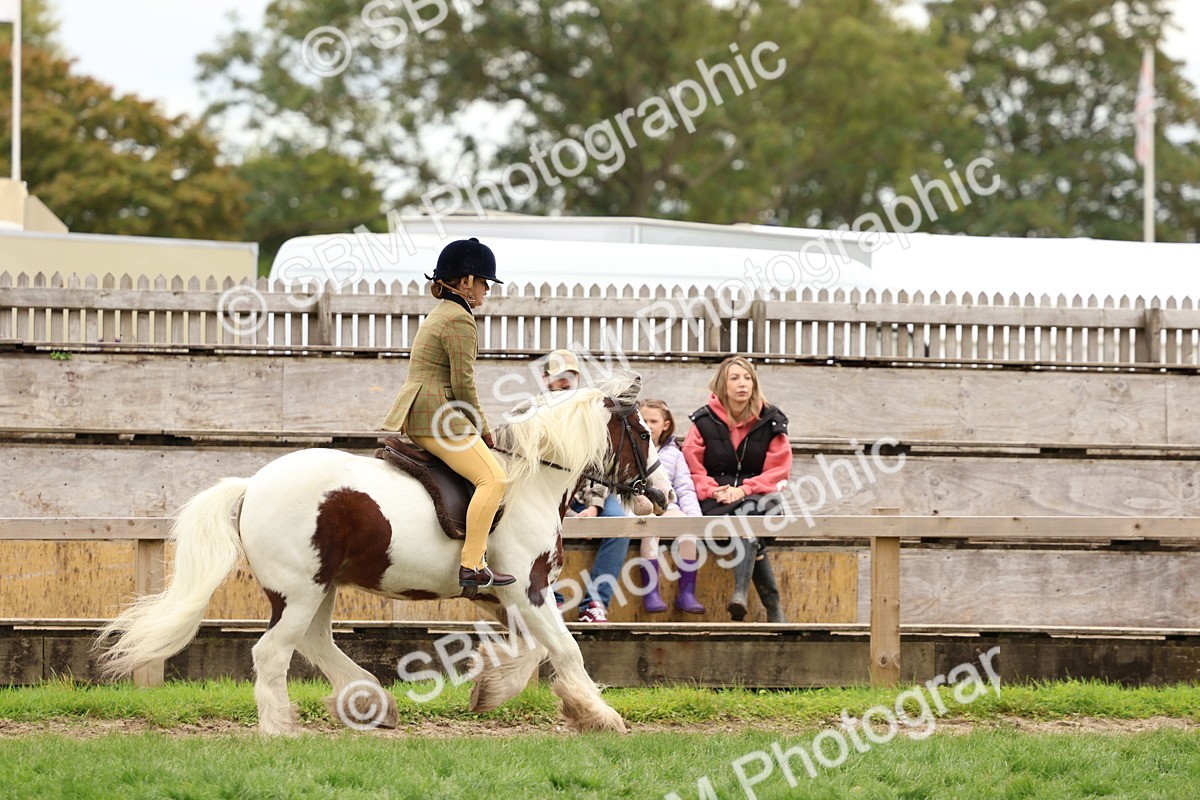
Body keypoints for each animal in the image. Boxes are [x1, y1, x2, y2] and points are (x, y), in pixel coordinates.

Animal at [96, 373, 672, 735]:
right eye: (646, 433)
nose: (663, 495)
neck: (530, 478)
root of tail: (252, 484)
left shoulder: (506, 596)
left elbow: (534, 649)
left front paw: (493, 692)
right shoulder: (528, 590)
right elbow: (566, 648)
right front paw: (601, 716)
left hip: (320, 587)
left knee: (315, 642)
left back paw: (370, 702)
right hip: (299, 590)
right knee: (273, 654)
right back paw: (282, 728)